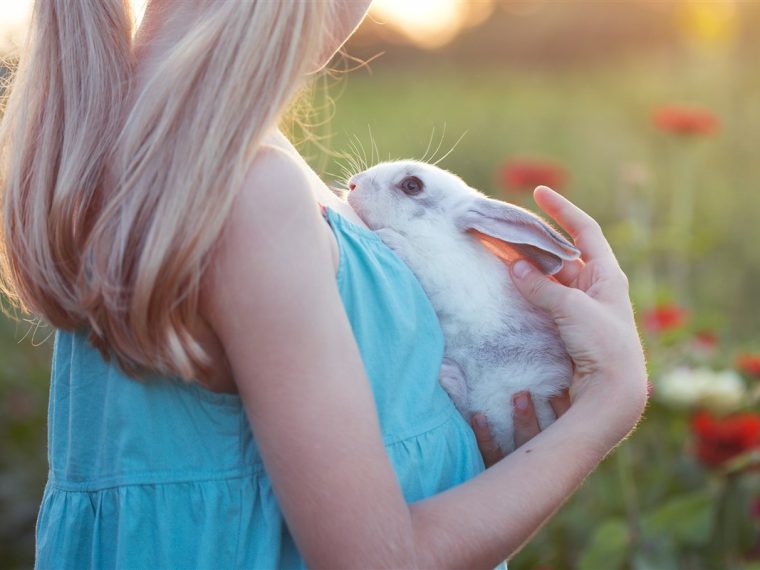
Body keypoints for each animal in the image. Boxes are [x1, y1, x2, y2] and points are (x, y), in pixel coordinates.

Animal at [348, 159, 580, 452]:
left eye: (412, 186)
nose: (353, 184)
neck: (437, 234)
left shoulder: (445, 279)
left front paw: (391, 239)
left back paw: (449, 375)